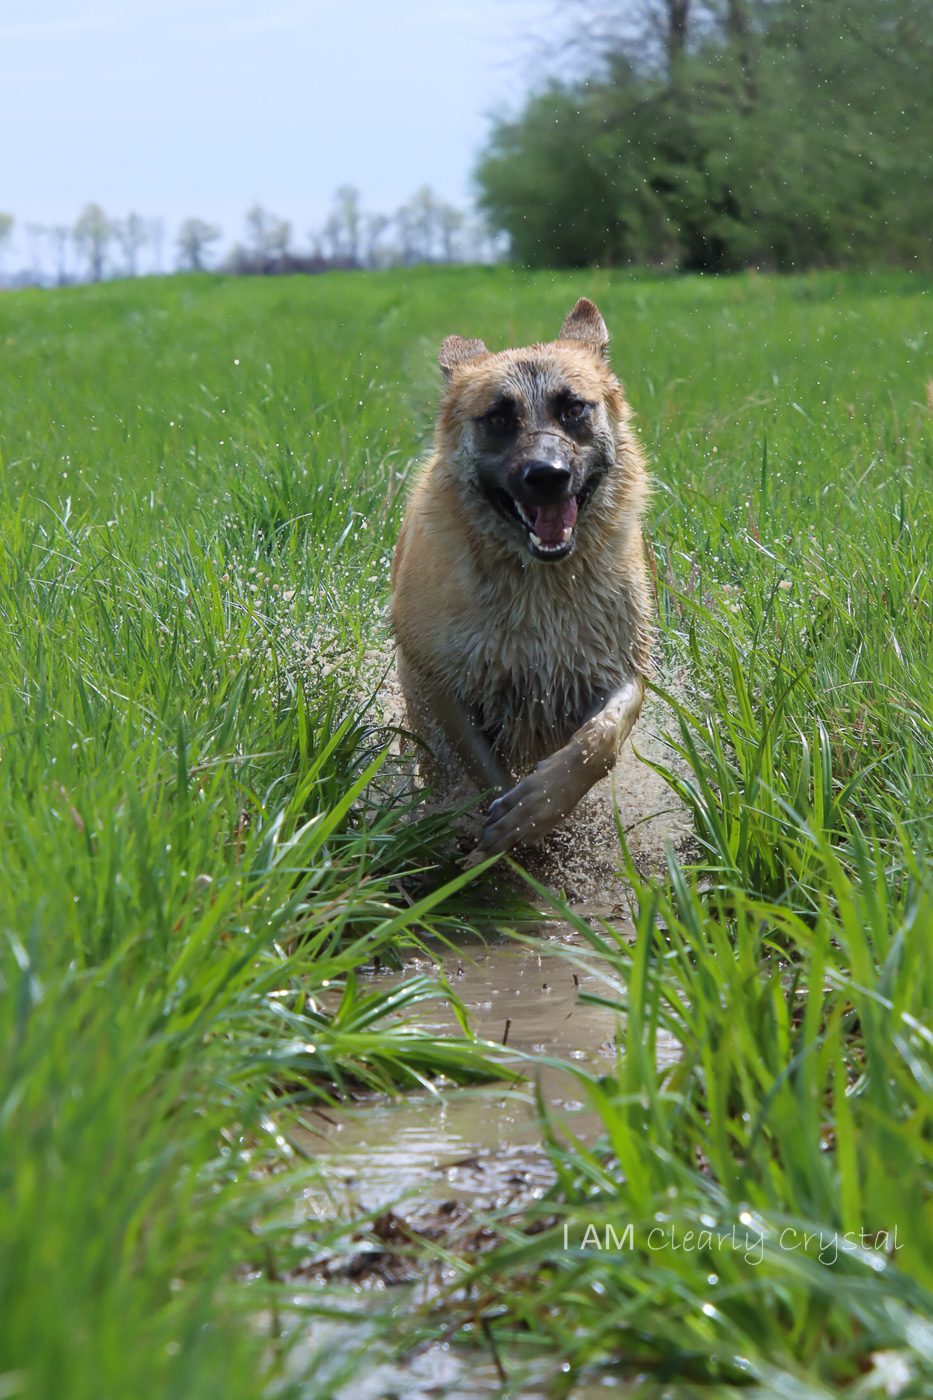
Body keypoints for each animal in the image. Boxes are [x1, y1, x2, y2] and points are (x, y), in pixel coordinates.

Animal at [389, 298, 650, 851]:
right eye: (498, 418)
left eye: (573, 409)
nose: (546, 475)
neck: (538, 583)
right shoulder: (440, 681)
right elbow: (483, 770)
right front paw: (504, 830)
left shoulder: (618, 664)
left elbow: (600, 740)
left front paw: (538, 807)